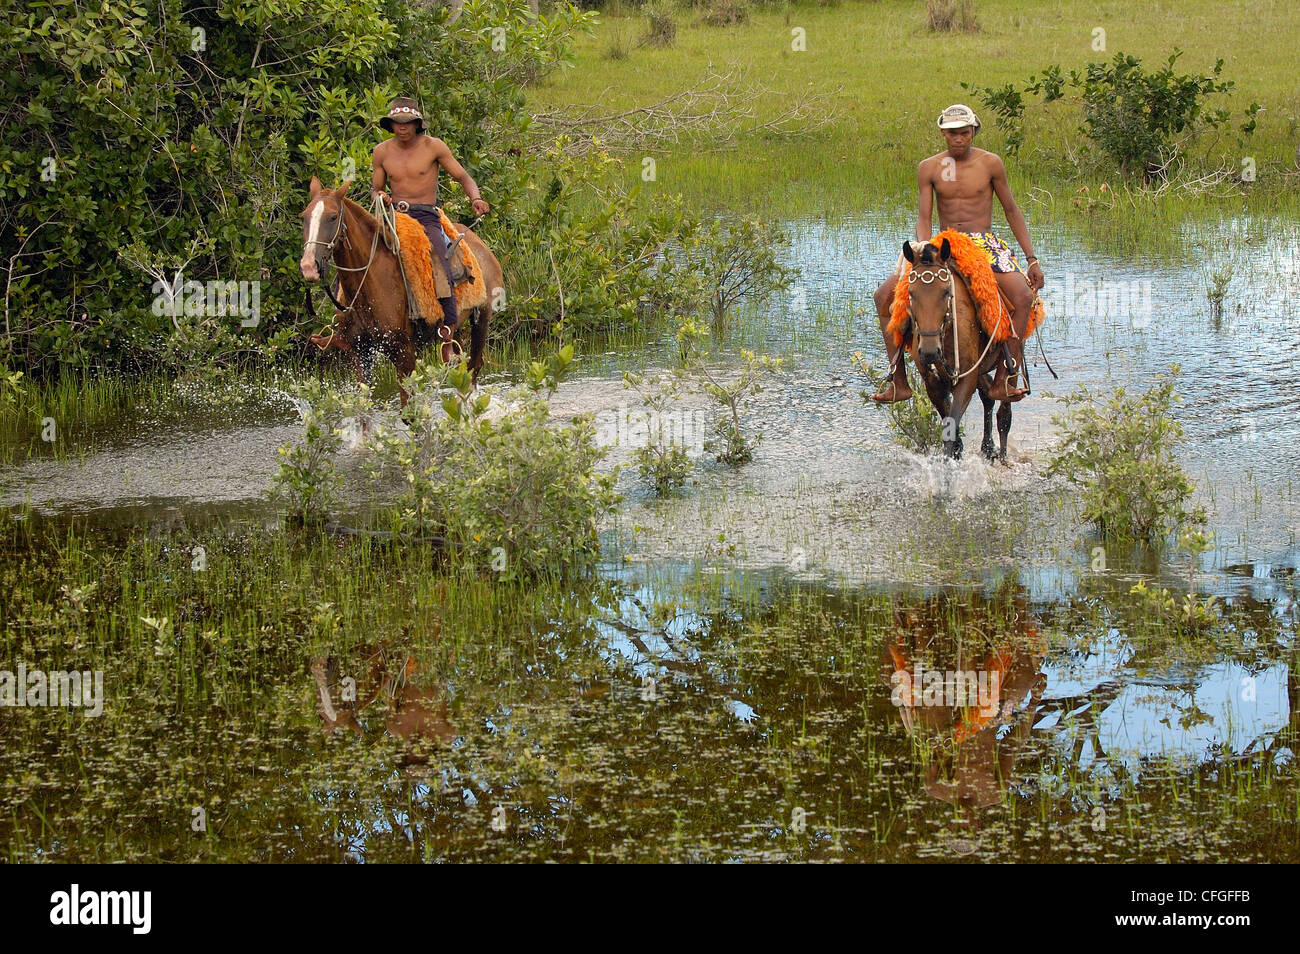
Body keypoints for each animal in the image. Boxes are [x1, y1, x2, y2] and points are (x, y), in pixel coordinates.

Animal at [297, 178, 499, 402]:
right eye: (304, 217)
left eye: (332, 217)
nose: (308, 266)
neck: (369, 283)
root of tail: (478, 241)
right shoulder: (360, 353)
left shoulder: (403, 353)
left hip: (482, 318)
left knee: (473, 369)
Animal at [899, 239, 1008, 462]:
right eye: (911, 293)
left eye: (945, 293)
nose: (929, 352)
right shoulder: (933, 383)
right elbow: (950, 427)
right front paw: (956, 454)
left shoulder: (967, 378)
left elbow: (951, 428)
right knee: (988, 394)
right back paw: (987, 446)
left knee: (1004, 408)